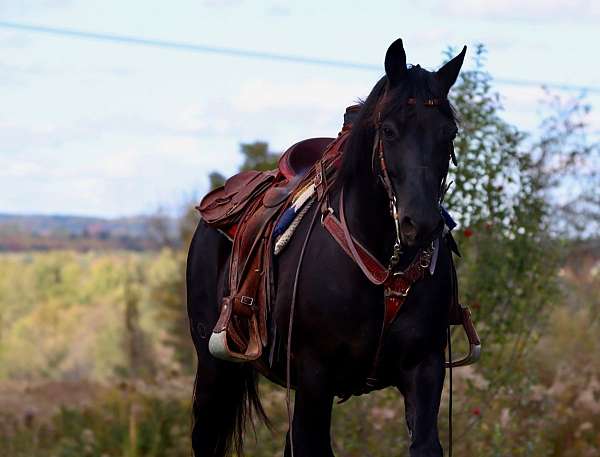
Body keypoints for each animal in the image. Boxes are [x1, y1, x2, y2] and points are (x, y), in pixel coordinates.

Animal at [188, 40, 468, 456]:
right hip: (214, 369)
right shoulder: (314, 377)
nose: (420, 224)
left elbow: (424, 444)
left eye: (448, 133)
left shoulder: (425, 368)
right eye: (388, 131)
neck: (384, 268)